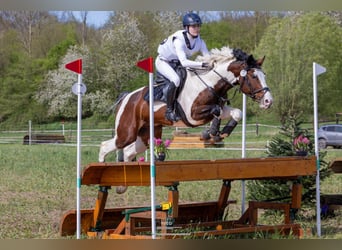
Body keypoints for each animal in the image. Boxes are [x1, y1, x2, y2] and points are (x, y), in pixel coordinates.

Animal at [99, 46, 272, 164]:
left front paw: (221, 133)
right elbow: (216, 110)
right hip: (126, 133)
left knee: (129, 152)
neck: (209, 83)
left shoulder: (220, 108)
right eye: (254, 76)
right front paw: (211, 133)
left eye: (264, 75)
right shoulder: (192, 115)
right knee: (105, 146)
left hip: (146, 134)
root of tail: (127, 97)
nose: (268, 101)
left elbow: (236, 112)